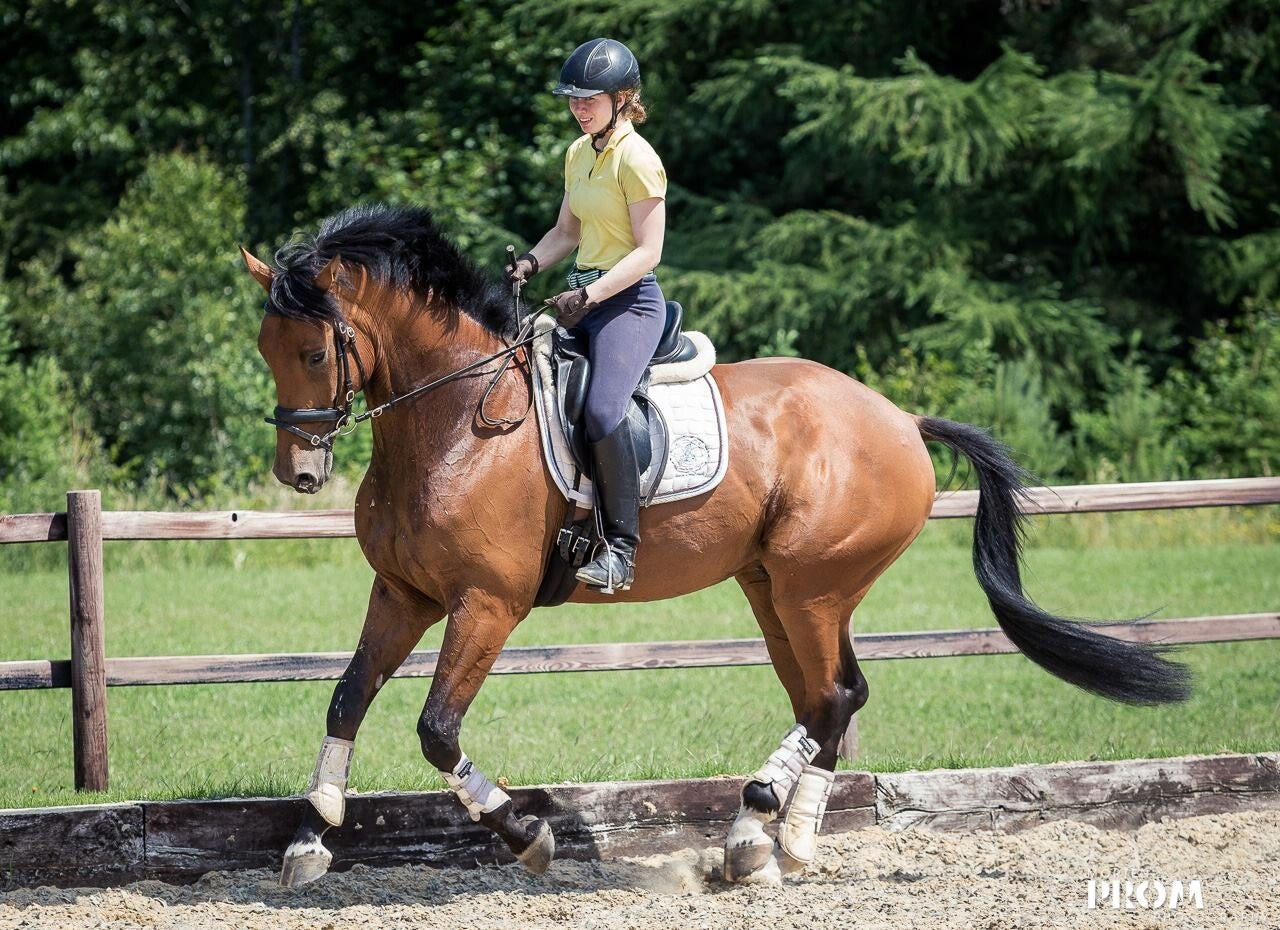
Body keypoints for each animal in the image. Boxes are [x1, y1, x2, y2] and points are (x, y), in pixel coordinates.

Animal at [243, 204, 1190, 887]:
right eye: (265, 347)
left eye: (314, 349)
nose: (299, 472)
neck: (452, 426)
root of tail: (899, 419)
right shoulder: (403, 593)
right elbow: (345, 699)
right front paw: (309, 840)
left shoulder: (488, 603)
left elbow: (438, 728)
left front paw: (527, 836)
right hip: (776, 589)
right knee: (834, 697)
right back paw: (774, 843)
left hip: (813, 587)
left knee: (832, 697)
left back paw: (762, 827)